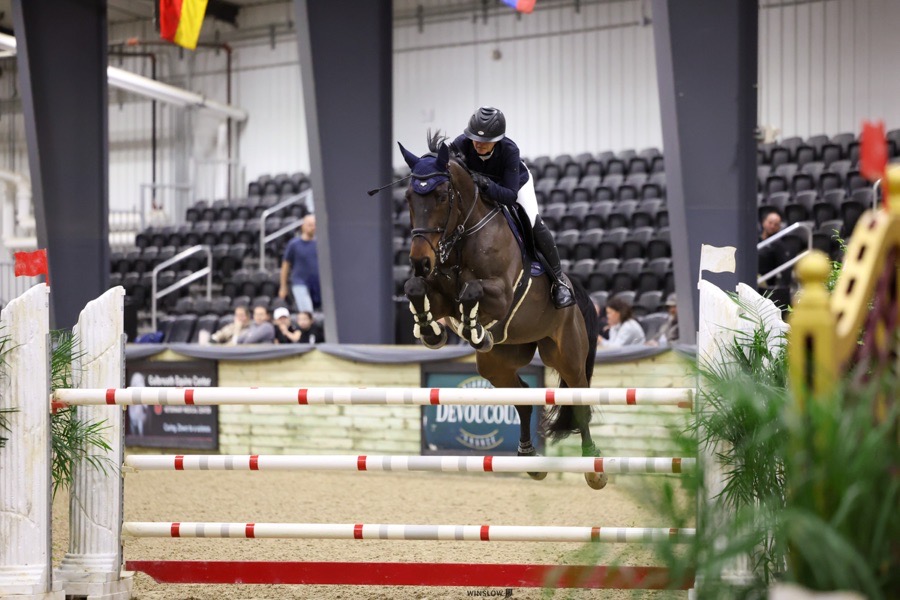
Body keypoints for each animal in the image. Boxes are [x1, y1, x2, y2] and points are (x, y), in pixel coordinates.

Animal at [398, 133, 606, 490]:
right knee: (523, 397)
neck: (462, 234)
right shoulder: (440, 295)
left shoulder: (503, 294)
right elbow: (417, 290)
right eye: (410, 197)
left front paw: (472, 329)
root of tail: (577, 296)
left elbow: (472, 291)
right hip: (498, 362)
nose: (420, 261)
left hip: (565, 353)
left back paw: (593, 465)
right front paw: (431, 332)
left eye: (441, 196)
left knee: (579, 399)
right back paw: (529, 457)